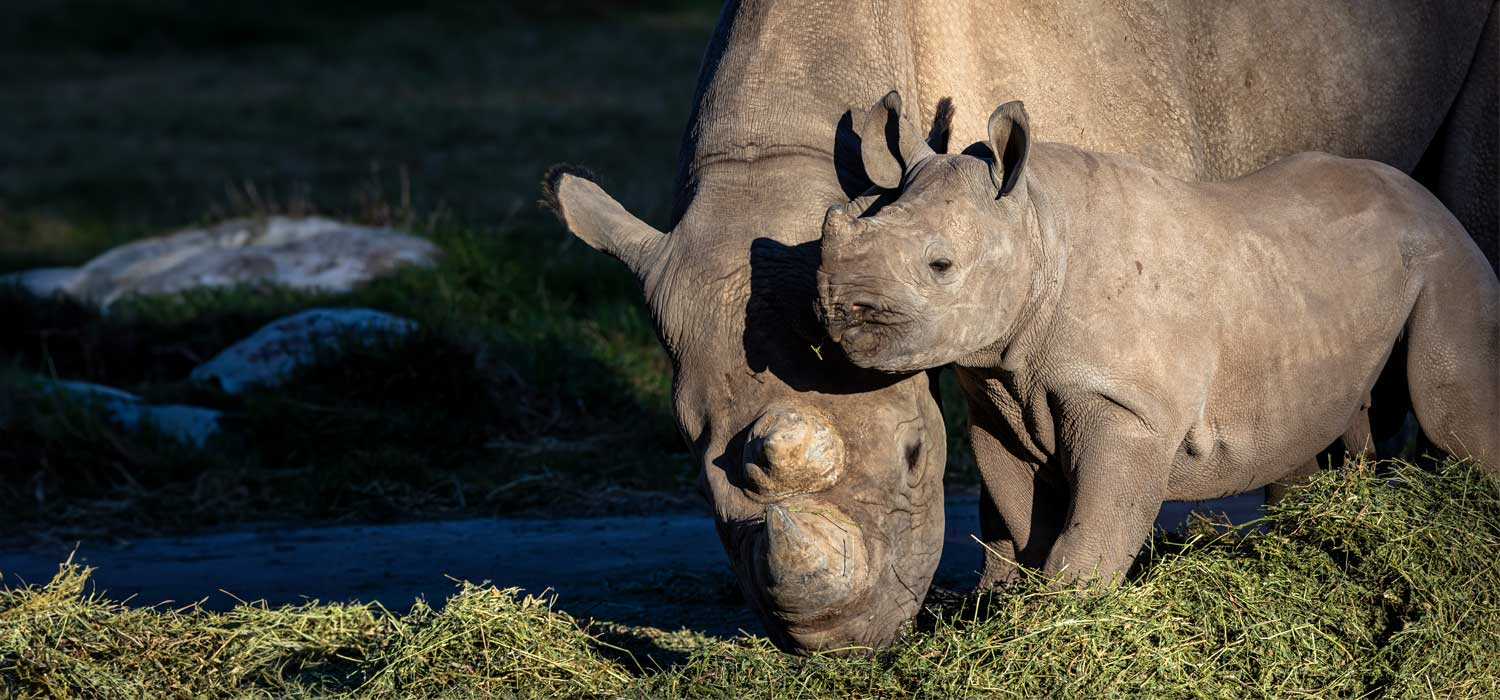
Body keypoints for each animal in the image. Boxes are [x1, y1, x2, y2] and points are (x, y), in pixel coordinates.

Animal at [822, 91, 1500, 587]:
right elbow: (1020, 521)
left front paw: (1065, 618)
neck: (1036, 225)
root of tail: (1434, 205)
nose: (837, 312)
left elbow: (1093, 529)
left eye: (940, 266)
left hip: (1446, 256)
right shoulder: (996, 397)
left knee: (1451, 417)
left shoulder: (1128, 409)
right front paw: (1011, 609)